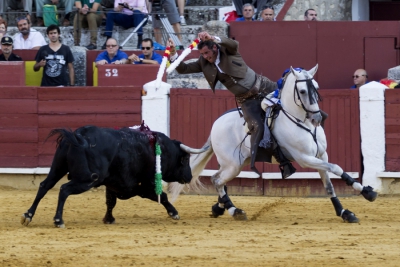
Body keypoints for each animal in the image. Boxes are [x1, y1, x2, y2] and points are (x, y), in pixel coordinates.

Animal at [20, 125, 206, 228]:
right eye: (185, 159)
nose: (189, 176)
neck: (160, 150)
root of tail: (78, 136)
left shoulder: (113, 184)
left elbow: (110, 202)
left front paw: (108, 218)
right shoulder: (144, 185)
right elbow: (163, 196)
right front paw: (174, 213)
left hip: (57, 168)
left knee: (44, 186)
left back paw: (28, 215)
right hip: (87, 179)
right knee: (64, 190)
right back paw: (58, 220)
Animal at [170, 65, 378, 224]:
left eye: (317, 87)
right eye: (303, 91)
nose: (317, 118)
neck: (301, 121)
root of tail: (215, 125)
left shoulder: (321, 155)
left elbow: (329, 185)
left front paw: (347, 210)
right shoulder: (305, 159)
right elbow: (336, 167)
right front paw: (366, 193)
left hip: (239, 163)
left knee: (219, 180)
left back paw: (219, 208)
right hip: (233, 165)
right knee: (217, 180)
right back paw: (235, 211)